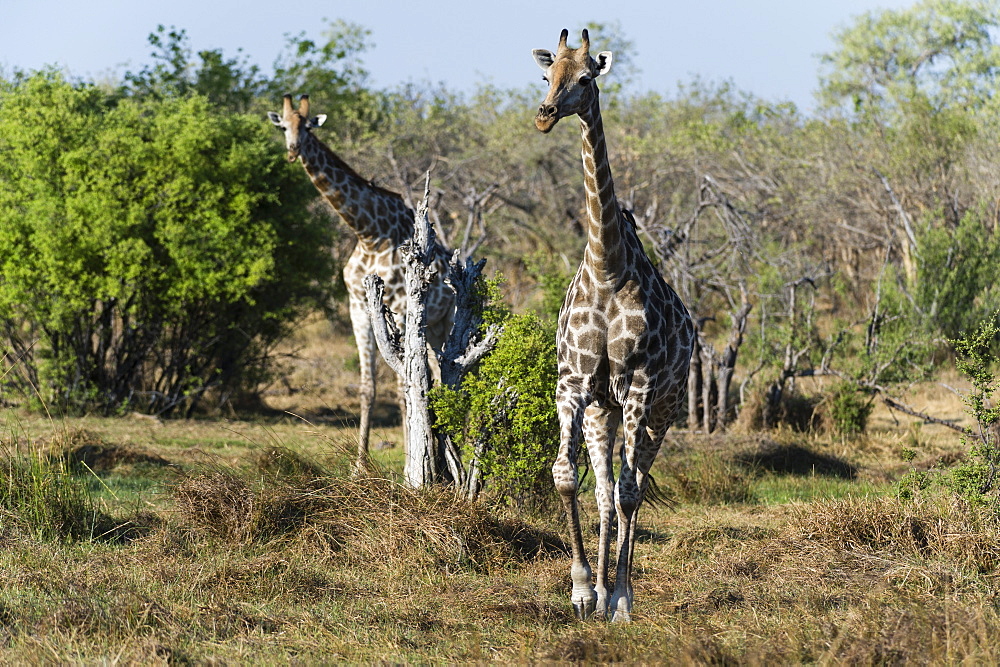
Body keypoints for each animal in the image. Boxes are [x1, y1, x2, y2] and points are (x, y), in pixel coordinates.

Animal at [266, 94, 454, 470]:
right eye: (284, 127)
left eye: (307, 128)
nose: (293, 151)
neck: (368, 234)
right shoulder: (357, 306)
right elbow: (369, 387)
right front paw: (359, 465)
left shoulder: (401, 307)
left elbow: (403, 384)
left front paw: (410, 464)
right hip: (433, 328)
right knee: (439, 375)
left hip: (447, 318)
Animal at [532, 26, 696, 620]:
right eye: (546, 74)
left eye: (586, 78)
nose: (545, 114)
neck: (607, 267)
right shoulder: (574, 383)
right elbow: (566, 477)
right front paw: (583, 589)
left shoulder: (639, 388)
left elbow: (629, 492)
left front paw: (620, 597)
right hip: (605, 408)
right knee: (606, 488)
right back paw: (602, 593)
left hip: (660, 411)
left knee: (636, 487)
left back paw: (622, 594)